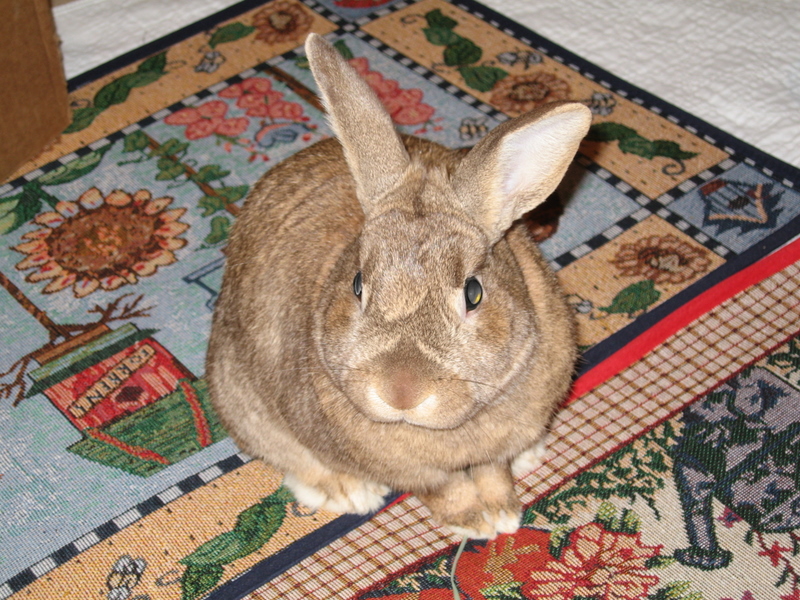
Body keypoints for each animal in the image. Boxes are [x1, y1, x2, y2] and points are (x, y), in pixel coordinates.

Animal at [206, 33, 591, 539]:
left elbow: (493, 471)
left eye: (473, 293)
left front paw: (504, 515)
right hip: (242, 398)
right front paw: (477, 522)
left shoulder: (499, 447)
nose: (400, 392)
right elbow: (445, 490)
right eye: (357, 285)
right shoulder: (416, 474)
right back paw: (349, 493)